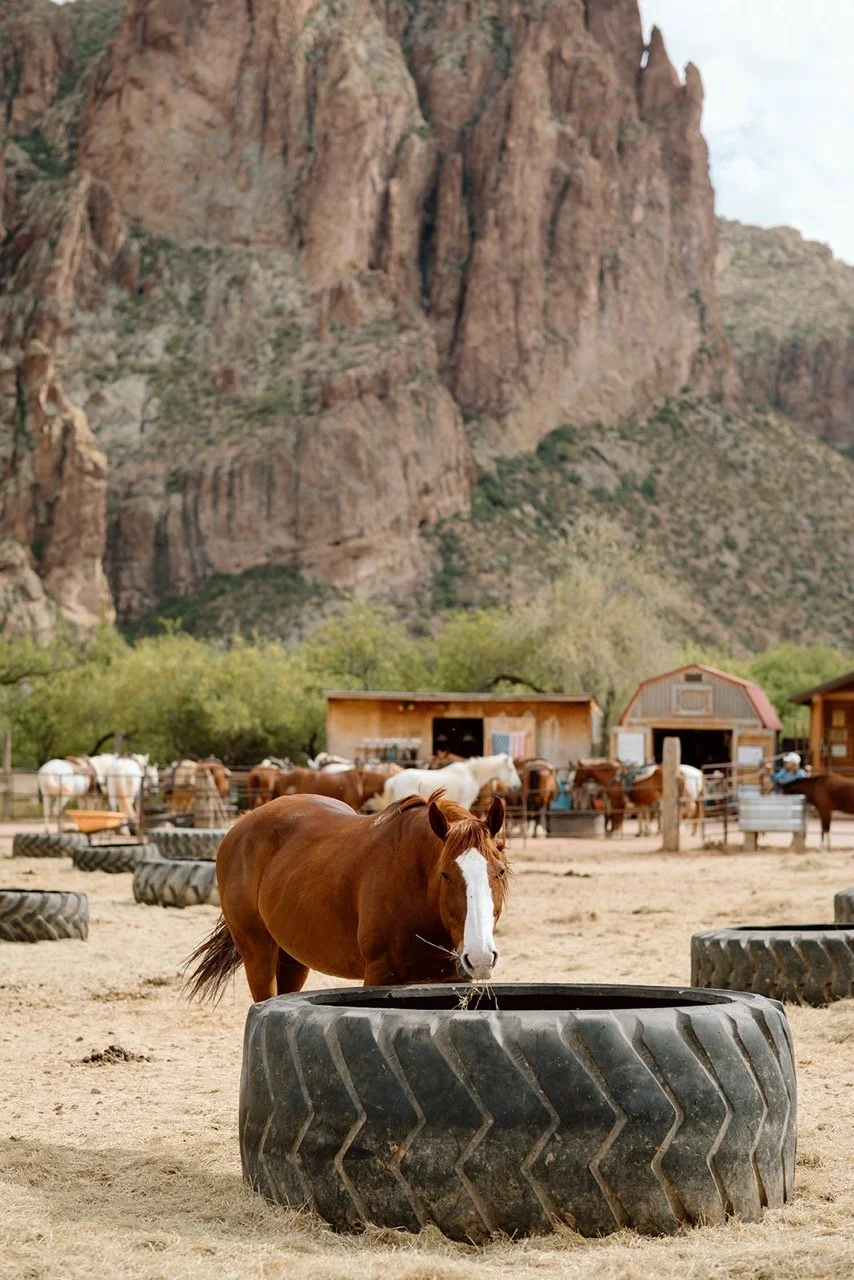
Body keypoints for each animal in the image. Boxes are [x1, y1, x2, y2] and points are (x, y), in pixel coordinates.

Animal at [185, 791, 509, 1001]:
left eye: (500, 871)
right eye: (445, 874)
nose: (480, 956)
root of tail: (239, 826)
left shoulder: (451, 977)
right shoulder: (379, 974)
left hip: (292, 958)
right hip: (257, 953)